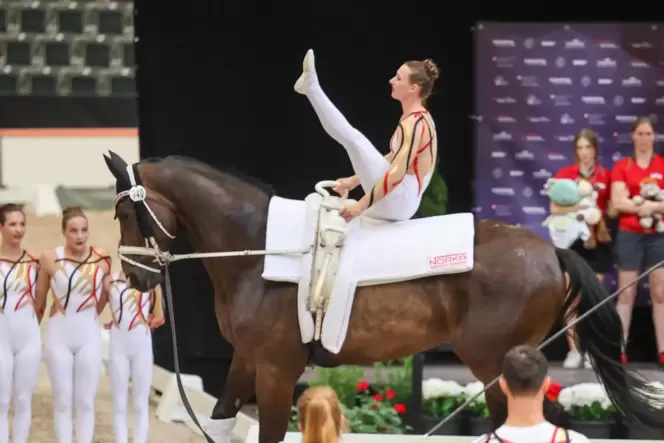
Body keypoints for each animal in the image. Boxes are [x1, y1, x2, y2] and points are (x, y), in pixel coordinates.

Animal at [102, 153, 664, 443]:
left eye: (125, 213)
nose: (135, 278)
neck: (259, 251)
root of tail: (551, 249)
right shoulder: (246, 359)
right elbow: (222, 420)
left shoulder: (278, 369)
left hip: (495, 363)